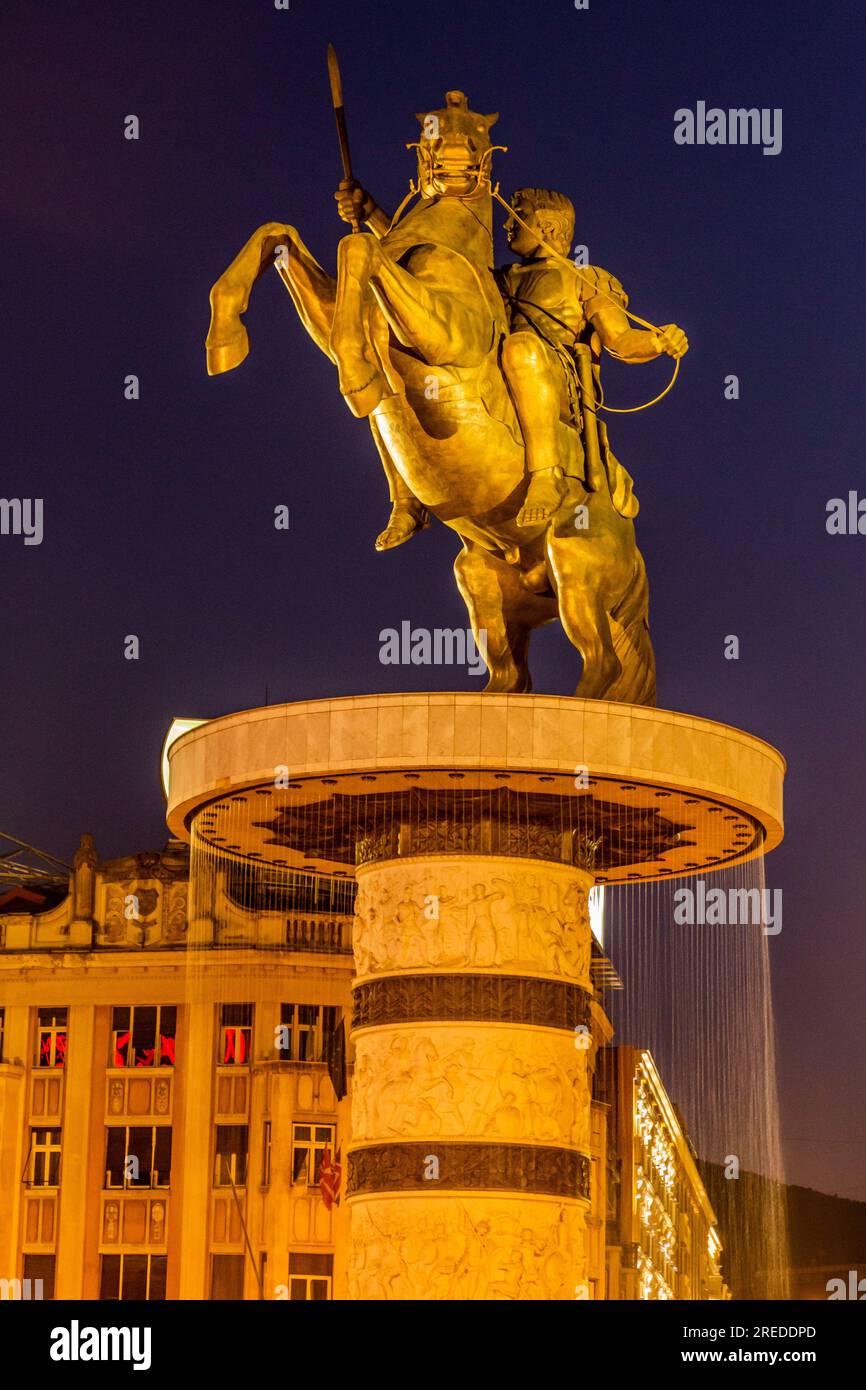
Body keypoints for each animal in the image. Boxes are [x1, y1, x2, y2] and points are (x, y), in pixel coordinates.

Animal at [207, 89, 653, 706]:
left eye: (478, 133)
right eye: (429, 128)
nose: (453, 168)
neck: (443, 242)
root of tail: (631, 546)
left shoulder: (445, 336)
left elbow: (357, 250)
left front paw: (358, 376)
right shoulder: (339, 314)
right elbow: (283, 233)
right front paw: (226, 335)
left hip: (575, 569)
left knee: (603, 665)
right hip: (485, 583)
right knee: (513, 674)